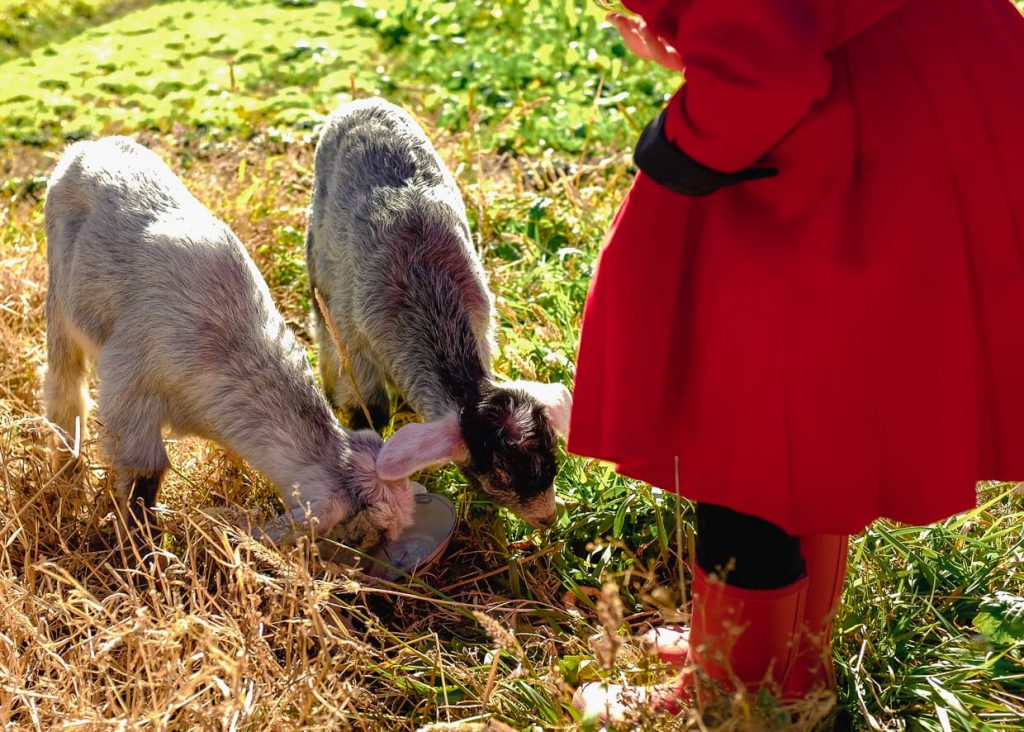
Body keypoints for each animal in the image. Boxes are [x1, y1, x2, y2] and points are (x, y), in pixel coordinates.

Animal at [44, 139, 411, 544]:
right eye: (363, 534)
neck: (232, 346)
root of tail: (91, 145)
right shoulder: (129, 386)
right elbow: (146, 472)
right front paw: (143, 543)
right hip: (59, 298)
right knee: (65, 387)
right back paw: (66, 470)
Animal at [303, 98, 577, 532]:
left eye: (553, 458)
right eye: (497, 476)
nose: (548, 520)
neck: (430, 302)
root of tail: (363, 102)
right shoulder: (354, 340)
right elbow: (371, 411)